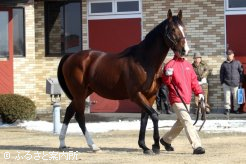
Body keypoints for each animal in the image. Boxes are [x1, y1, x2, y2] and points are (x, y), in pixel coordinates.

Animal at [57, 9, 188, 154]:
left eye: (184, 28)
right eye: (172, 29)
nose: (184, 50)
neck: (144, 60)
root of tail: (71, 56)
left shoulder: (150, 95)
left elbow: (144, 118)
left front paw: (144, 146)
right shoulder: (136, 95)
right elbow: (154, 115)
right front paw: (155, 146)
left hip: (84, 92)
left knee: (69, 111)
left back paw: (62, 143)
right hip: (79, 93)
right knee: (80, 116)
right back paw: (93, 145)